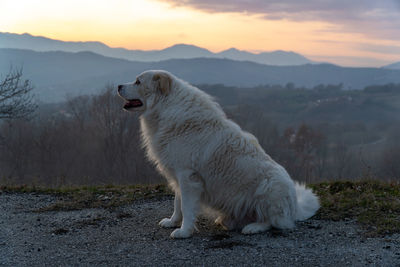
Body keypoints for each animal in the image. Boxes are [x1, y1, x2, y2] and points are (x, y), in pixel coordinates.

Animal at [117, 70, 320, 240]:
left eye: (138, 81)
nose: (118, 86)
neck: (166, 107)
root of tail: (295, 208)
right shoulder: (178, 176)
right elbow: (177, 203)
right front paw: (173, 222)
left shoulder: (187, 177)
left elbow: (186, 207)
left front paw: (184, 231)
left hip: (269, 187)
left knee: (275, 222)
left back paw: (253, 227)